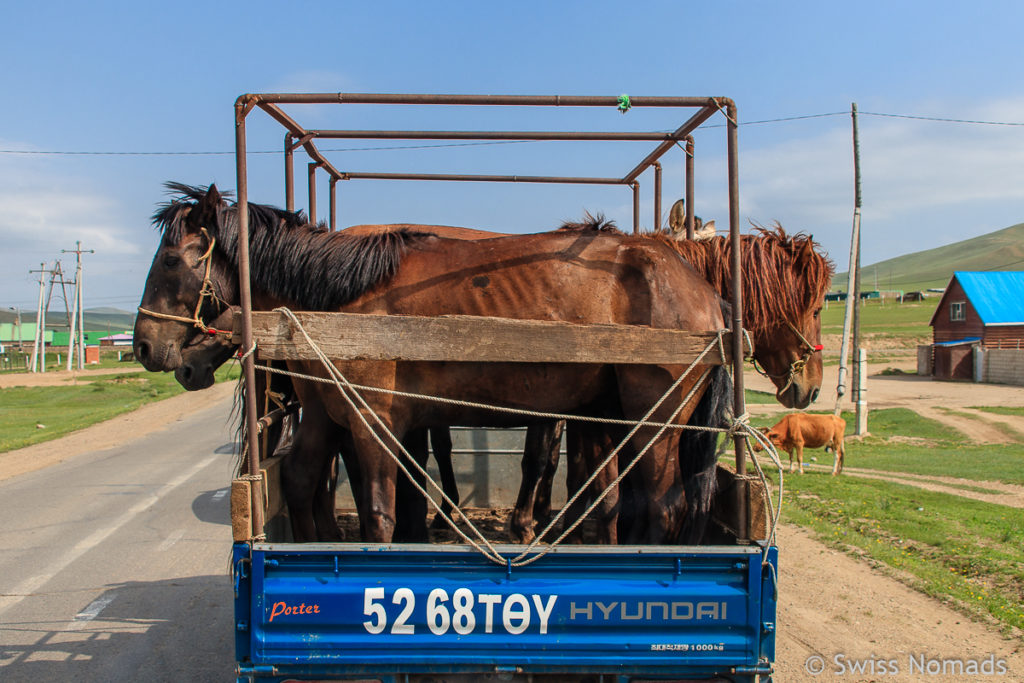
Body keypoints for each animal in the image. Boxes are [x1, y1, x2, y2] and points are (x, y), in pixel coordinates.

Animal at [134, 183, 729, 544]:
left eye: (172, 260)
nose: (144, 346)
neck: (339, 298)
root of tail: (703, 291)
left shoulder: (372, 422)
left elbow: (381, 509)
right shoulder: (328, 417)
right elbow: (305, 483)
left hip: (653, 424)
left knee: (660, 505)